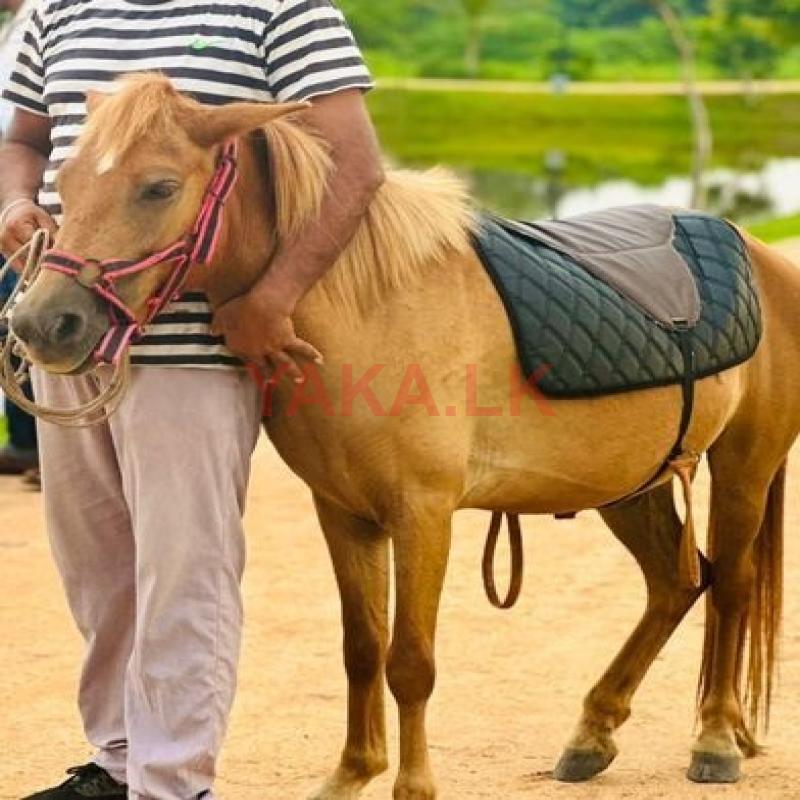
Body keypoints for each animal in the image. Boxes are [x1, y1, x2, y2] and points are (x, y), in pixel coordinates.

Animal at [10, 75, 800, 799]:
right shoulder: (344, 514)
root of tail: (765, 256)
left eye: (159, 187)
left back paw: (715, 740)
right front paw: (350, 775)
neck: (366, 310)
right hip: (629, 485)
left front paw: (412, 786)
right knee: (677, 584)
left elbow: (411, 661)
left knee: (731, 588)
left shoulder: (423, 516)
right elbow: (362, 648)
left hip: (743, 468)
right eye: (66, 181)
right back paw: (592, 734)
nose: (43, 323)